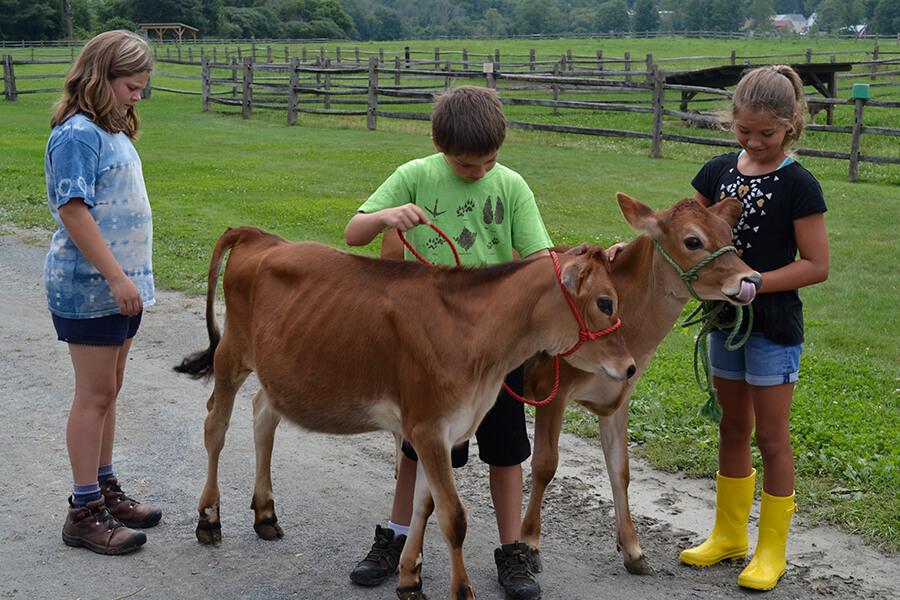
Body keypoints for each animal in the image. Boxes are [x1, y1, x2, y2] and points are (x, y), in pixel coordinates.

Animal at [175, 226, 637, 600]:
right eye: (606, 303)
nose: (632, 367)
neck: (480, 345)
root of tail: (259, 235)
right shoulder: (428, 426)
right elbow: (454, 518)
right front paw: (461, 590)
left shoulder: (441, 432)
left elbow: (424, 505)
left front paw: (410, 578)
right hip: (232, 354)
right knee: (215, 425)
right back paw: (209, 519)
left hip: (279, 372)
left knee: (263, 417)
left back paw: (265, 513)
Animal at [518, 192, 760, 576]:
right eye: (693, 240)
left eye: (729, 235)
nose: (752, 279)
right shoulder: (550, 390)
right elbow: (544, 464)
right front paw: (529, 542)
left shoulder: (620, 399)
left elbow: (620, 470)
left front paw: (633, 550)